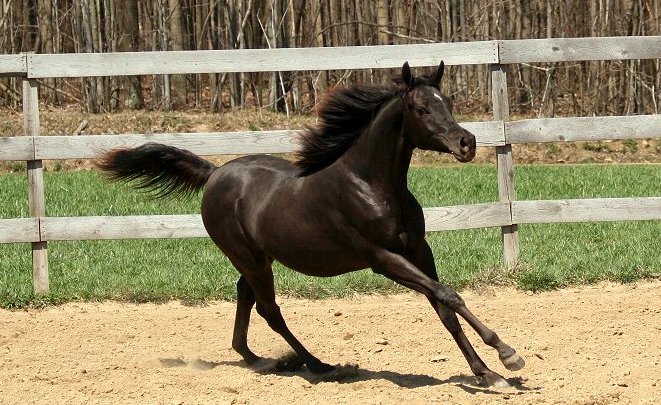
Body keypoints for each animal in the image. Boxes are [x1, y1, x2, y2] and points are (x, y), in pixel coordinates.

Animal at [98, 60, 524, 386]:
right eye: (421, 109)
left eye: (446, 102)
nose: (466, 143)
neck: (372, 185)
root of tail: (215, 173)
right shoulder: (383, 259)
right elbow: (448, 295)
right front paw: (507, 355)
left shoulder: (419, 251)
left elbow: (444, 306)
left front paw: (488, 373)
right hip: (248, 257)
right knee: (269, 309)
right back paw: (317, 364)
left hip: (258, 257)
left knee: (246, 295)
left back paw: (255, 358)